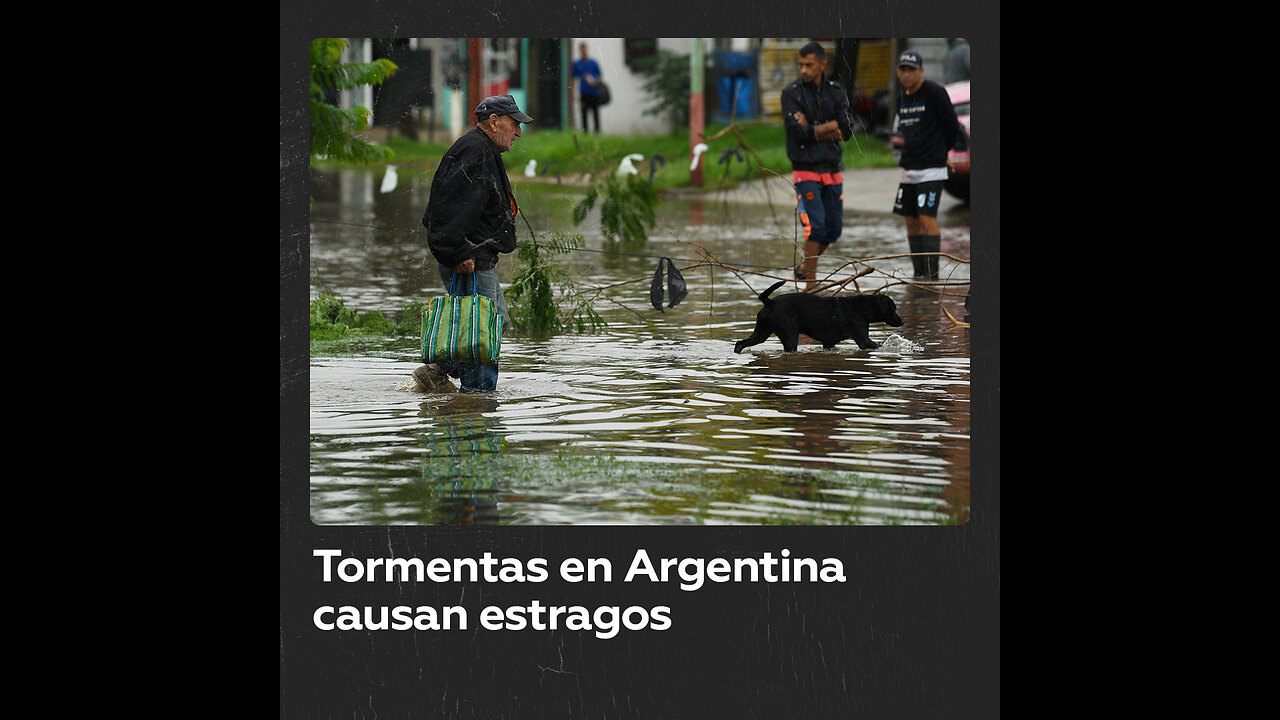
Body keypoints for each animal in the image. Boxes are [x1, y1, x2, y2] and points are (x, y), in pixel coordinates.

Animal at [737, 279, 906, 351]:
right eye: (893, 308)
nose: (902, 322)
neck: (862, 307)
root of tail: (770, 302)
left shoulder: (829, 343)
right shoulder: (863, 340)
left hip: (761, 333)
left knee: (740, 343)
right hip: (790, 336)